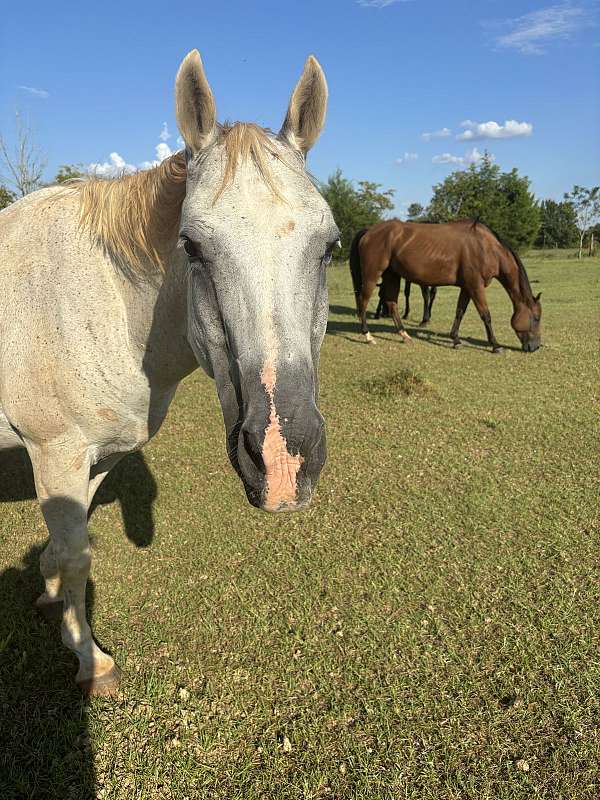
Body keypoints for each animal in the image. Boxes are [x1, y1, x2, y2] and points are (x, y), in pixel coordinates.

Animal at [0, 51, 338, 692]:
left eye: (329, 247)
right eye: (192, 246)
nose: (282, 459)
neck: (102, 305)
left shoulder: (99, 458)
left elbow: (64, 550)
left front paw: (52, 602)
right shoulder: (54, 453)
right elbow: (77, 556)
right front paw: (90, 660)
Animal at [350, 217, 540, 352]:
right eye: (536, 318)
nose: (535, 346)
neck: (485, 248)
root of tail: (369, 231)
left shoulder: (467, 287)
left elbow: (460, 312)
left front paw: (455, 339)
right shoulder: (476, 286)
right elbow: (486, 315)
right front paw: (496, 345)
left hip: (392, 276)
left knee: (391, 303)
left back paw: (404, 335)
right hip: (372, 275)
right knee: (363, 301)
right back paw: (368, 336)